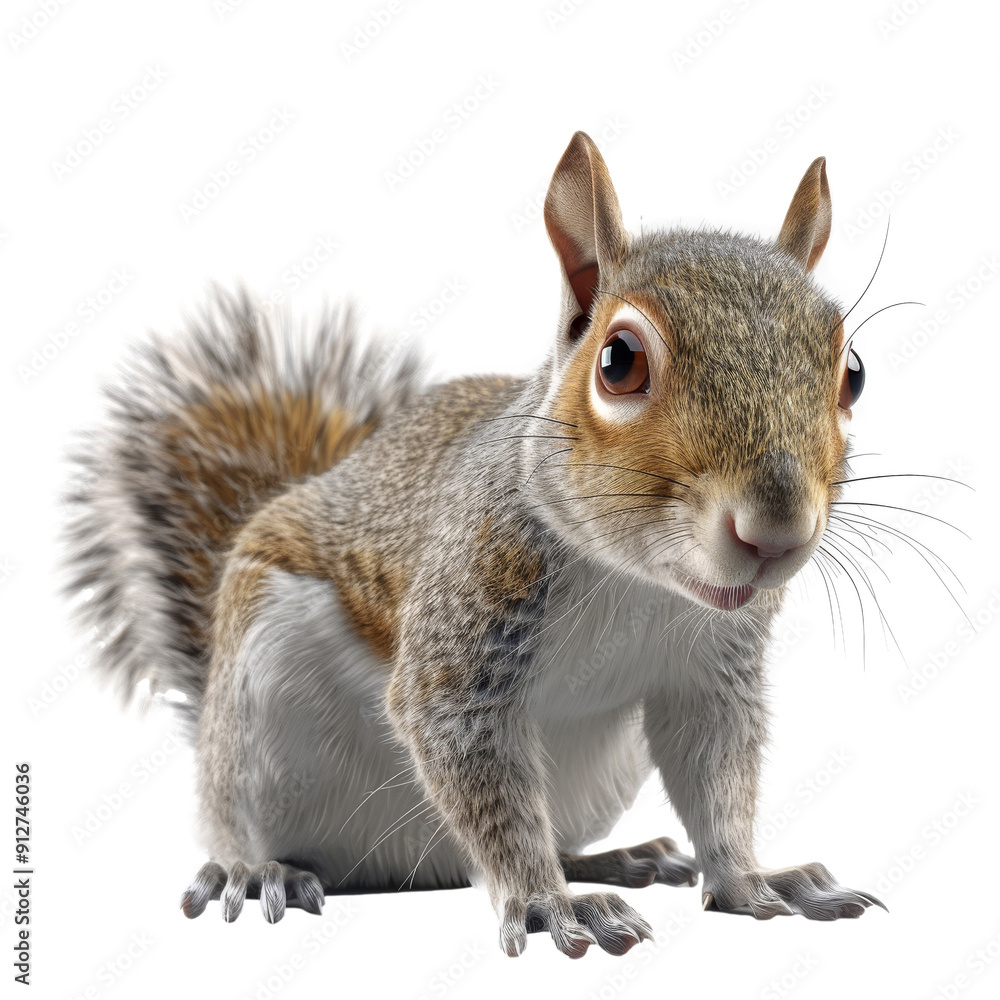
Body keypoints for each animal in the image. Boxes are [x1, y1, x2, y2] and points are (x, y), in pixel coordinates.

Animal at [63, 131, 885, 958]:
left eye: (853, 372)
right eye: (619, 362)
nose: (776, 530)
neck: (638, 580)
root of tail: (408, 864)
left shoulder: (712, 673)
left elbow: (718, 780)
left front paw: (750, 879)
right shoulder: (469, 609)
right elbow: (473, 761)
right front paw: (549, 905)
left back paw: (612, 858)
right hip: (258, 702)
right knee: (235, 820)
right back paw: (255, 870)